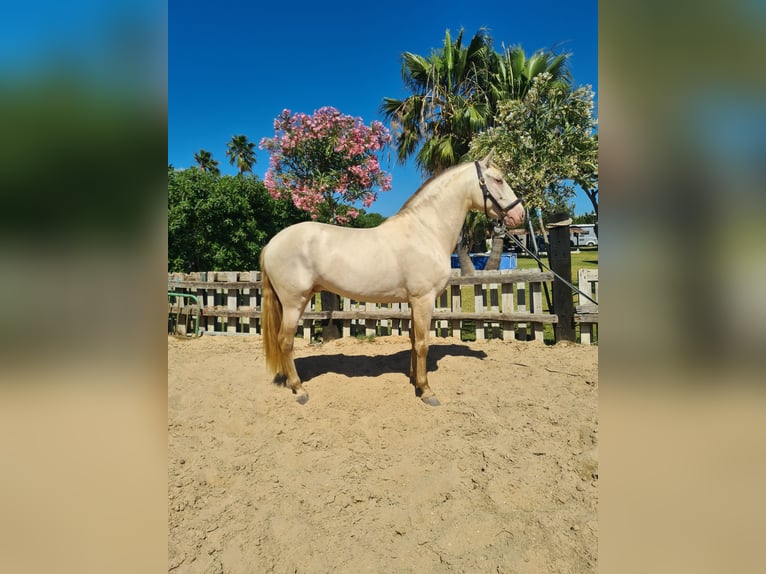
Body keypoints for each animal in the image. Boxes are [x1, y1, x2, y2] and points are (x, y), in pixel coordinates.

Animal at [260, 151, 524, 408]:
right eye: (498, 180)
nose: (519, 214)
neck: (426, 230)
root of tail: (272, 244)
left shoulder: (414, 302)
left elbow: (413, 340)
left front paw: (415, 380)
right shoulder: (424, 300)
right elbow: (423, 343)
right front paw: (427, 392)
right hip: (294, 303)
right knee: (285, 341)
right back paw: (299, 390)